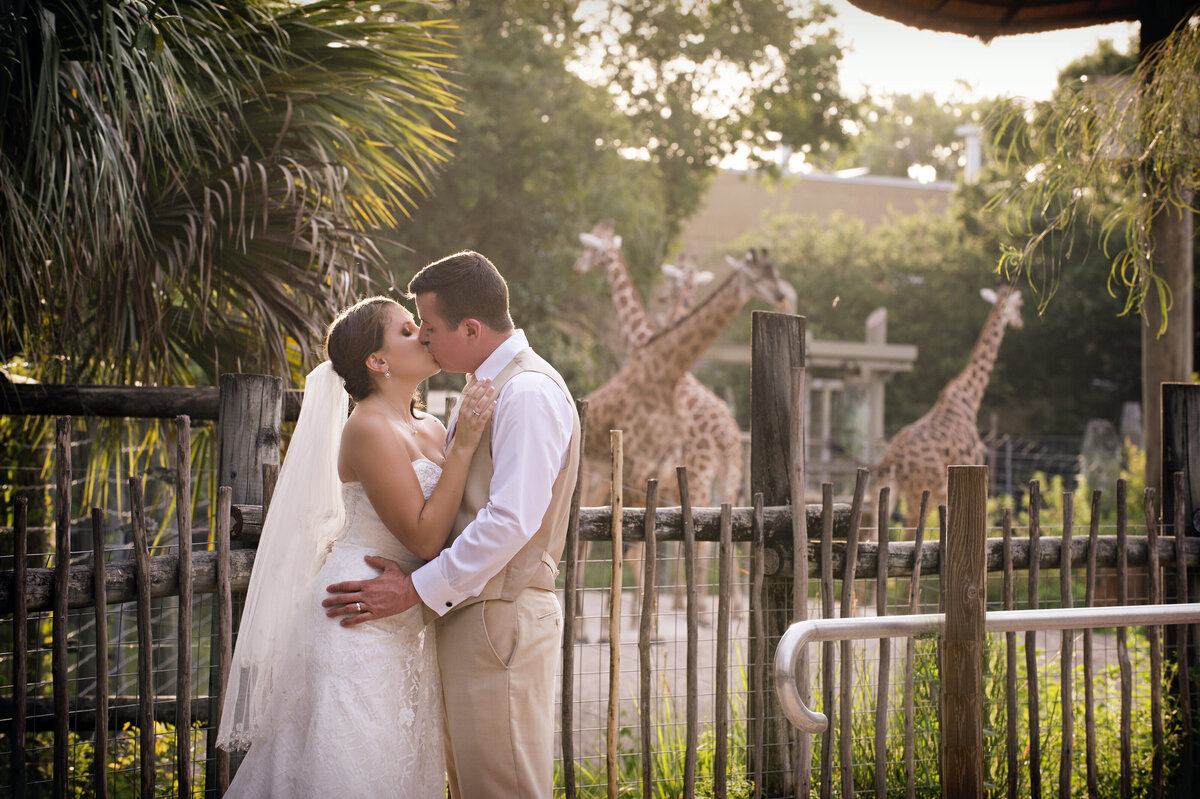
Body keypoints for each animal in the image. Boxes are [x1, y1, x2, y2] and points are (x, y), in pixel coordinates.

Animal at [878, 283, 1027, 532]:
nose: (1020, 322)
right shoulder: (973, 465)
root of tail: (892, 461)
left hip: (892, 490)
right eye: (1019, 304)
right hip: (917, 492)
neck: (969, 398)